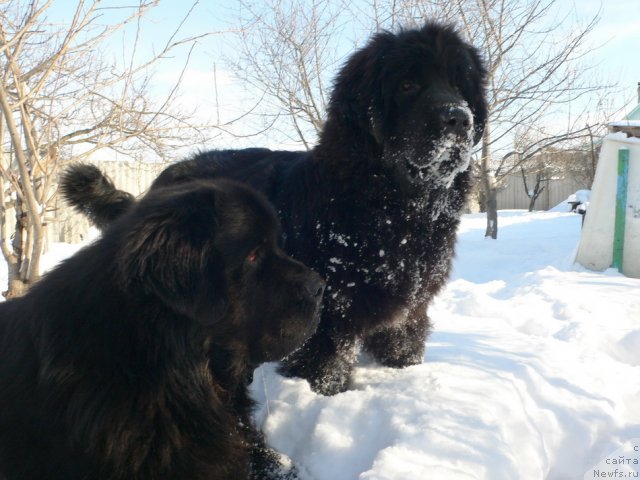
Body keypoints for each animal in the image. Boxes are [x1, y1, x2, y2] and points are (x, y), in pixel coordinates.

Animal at [62, 22, 488, 396]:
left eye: (458, 84)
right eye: (407, 84)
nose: (457, 117)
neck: (396, 209)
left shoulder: (410, 306)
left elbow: (404, 340)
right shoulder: (328, 315)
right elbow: (326, 365)